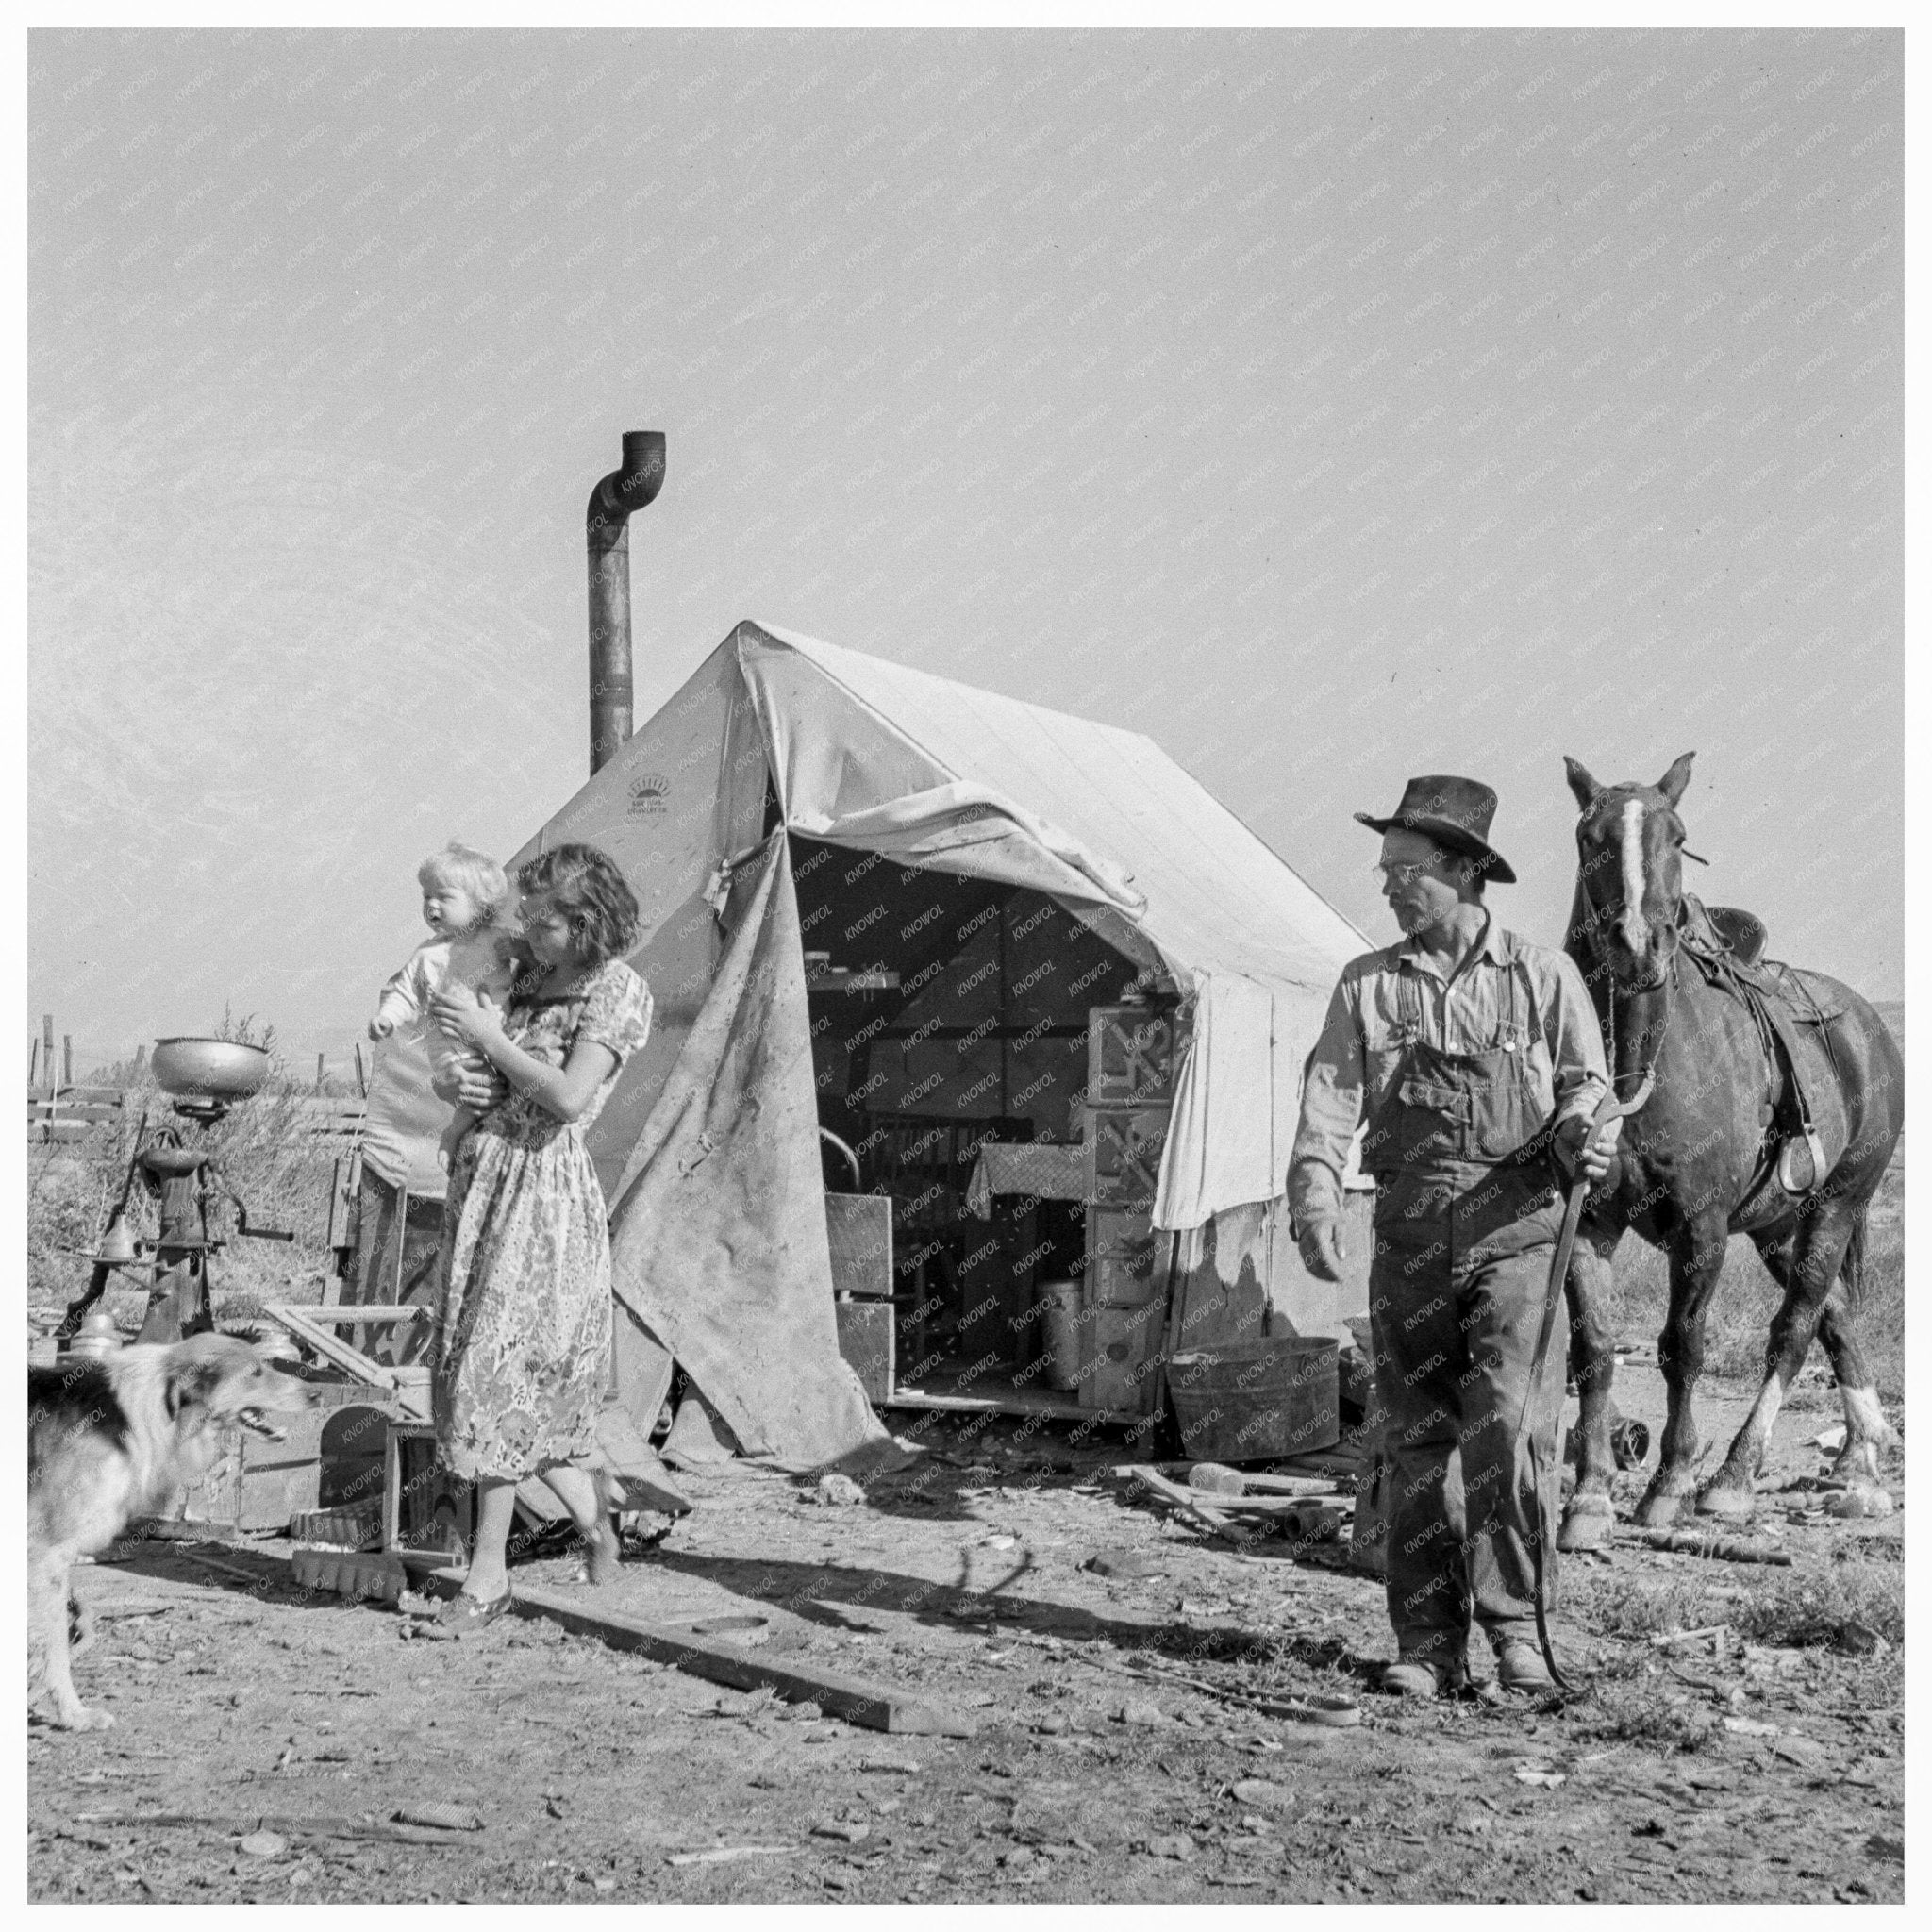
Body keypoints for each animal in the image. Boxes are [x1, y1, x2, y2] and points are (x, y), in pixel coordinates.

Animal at [1553, 753, 1901, 1538]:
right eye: (1588, 837)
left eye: (1678, 837)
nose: (1636, 947)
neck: (1639, 1066)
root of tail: (1869, 1028)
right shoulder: (1588, 1222)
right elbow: (1593, 1349)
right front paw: (1589, 1497)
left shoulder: (1700, 1227)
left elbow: (1682, 1346)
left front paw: (1669, 1484)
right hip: (1779, 1226)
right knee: (1835, 1316)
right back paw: (1862, 1460)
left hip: (1837, 1207)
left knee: (1796, 1326)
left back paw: (1736, 1477)